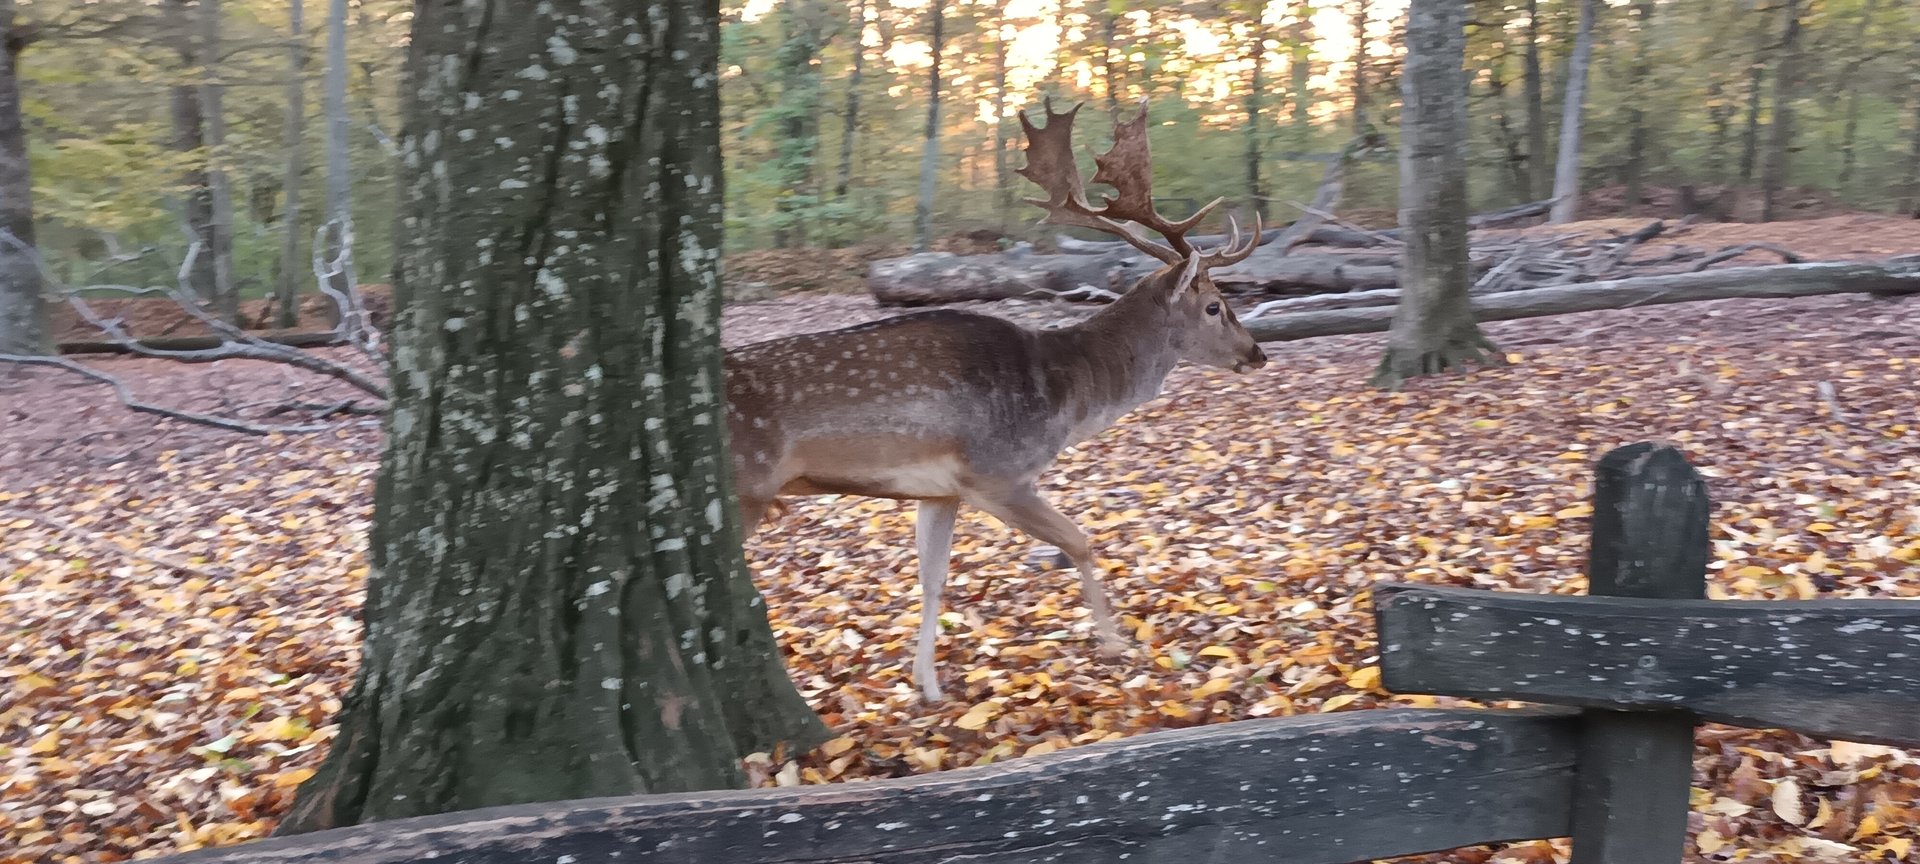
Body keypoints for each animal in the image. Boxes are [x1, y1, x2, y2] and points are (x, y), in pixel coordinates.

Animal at [724, 98, 1267, 701]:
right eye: (1215, 305)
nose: (1257, 353)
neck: (1066, 394)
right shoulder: (997, 472)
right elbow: (1080, 541)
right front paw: (1115, 644)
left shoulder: (940, 490)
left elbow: (933, 577)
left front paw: (927, 685)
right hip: (745, 489)